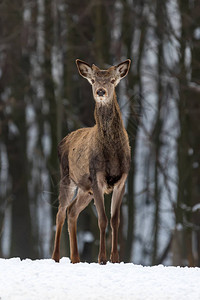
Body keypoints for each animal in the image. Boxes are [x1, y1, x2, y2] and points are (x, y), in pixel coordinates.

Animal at [52, 58, 131, 264]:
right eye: (94, 80)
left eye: (112, 80)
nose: (101, 92)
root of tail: (63, 140)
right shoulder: (97, 177)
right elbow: (102, 219)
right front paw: (101, 258)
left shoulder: (122, 180)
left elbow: (115, 220)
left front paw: (115, 258)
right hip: (67, 177)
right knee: (60, 212)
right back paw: (55, 257)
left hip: (84, 188)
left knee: (72, 211)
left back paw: (75, 258)